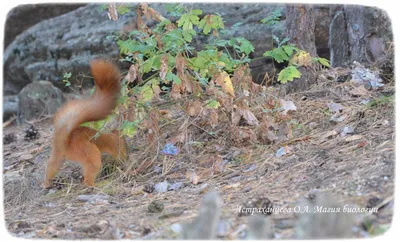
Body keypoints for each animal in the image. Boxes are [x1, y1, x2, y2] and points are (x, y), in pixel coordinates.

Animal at [43, 59, 126, 188]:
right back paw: (98, 184)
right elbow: (117, 155)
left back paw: (46, 183)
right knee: (88, 180)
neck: (111, 137)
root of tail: (66, 146)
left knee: (51, 166)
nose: (128, 155)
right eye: (124, 145)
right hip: (89, 153)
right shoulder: (113, 147)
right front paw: (124, 161)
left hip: (59, 157)